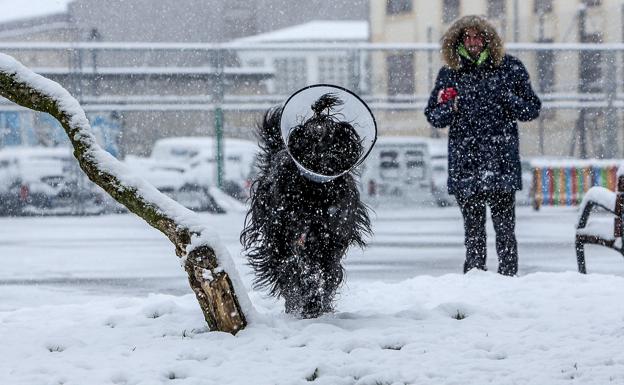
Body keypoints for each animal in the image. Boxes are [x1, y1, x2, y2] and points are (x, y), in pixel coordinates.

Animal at [241, 91, 372, 316]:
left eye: (334, 139)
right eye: (310, 141)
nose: (326, 159)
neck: (316, 193)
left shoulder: (333, 236)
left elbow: (328, 271)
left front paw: (318, 302)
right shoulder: (289, 235)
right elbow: (299, 269)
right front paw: (307, 301)